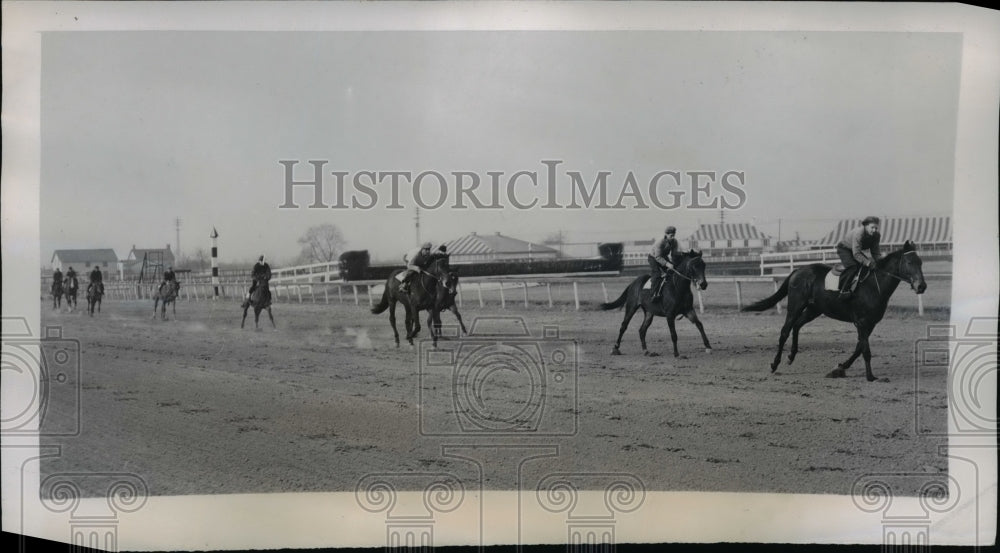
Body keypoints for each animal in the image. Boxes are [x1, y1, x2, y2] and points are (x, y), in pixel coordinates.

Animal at [744, 239, 928, 382]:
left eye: (921, 262)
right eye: (909, 263)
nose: (921, 286)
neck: (874, 287)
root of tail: (797, 271)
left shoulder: (870, 323)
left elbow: (859, 347)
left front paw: (841, 367)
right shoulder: (861, 322)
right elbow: (865, 350)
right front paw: (870, 376)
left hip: (814, 310)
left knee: (797, 326)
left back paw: (791, 356)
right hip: (795, 307)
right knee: (785, 331)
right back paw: (775, 364)